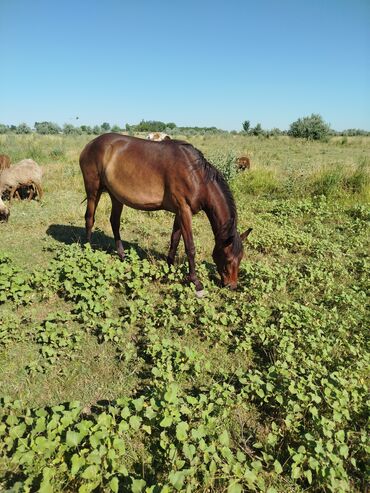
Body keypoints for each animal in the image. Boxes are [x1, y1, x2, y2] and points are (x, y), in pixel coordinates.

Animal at [80, 133, 253, 290]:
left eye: (241, 258)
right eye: (228, 259)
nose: (232, 286)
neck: (196, 175)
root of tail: (90, 144)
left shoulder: (179, 212)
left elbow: (174, 240)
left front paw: (169, 267)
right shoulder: (184, 210)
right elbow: (190, 247)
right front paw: (195, 281)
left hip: (116, 196)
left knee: (114, 222)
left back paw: (122, 255)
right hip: (93, 190)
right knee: (90, 219)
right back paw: (87, 250)